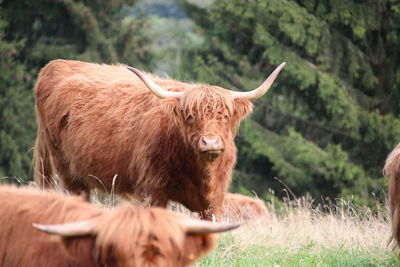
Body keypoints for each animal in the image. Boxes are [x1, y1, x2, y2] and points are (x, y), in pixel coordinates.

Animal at [32, 59, 286, 221]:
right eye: (191, 116)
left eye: (224, 116)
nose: (210, 142)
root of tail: (55, 65)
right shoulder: (152, 192)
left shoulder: (216, 201)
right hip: (67, 171)